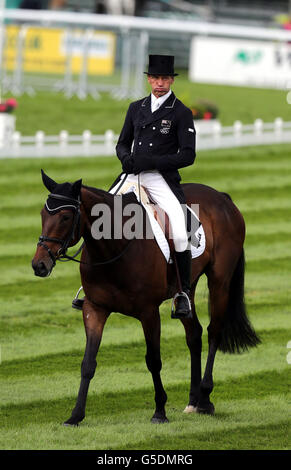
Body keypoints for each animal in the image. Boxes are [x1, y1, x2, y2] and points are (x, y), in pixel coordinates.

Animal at [31, 170, 260, 426]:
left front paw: (159, 411)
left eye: (65, 217)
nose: (39, 265)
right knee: (194, 334)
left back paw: (205, 398)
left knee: (214, 332)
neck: (114, 246)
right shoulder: (94, 308)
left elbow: (153, 360)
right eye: (42, 214)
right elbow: (88, 362)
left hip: (219, 281)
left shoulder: (148, 312)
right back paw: (193, 400)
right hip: (187, 288)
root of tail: (221, 196)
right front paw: (75, 415)